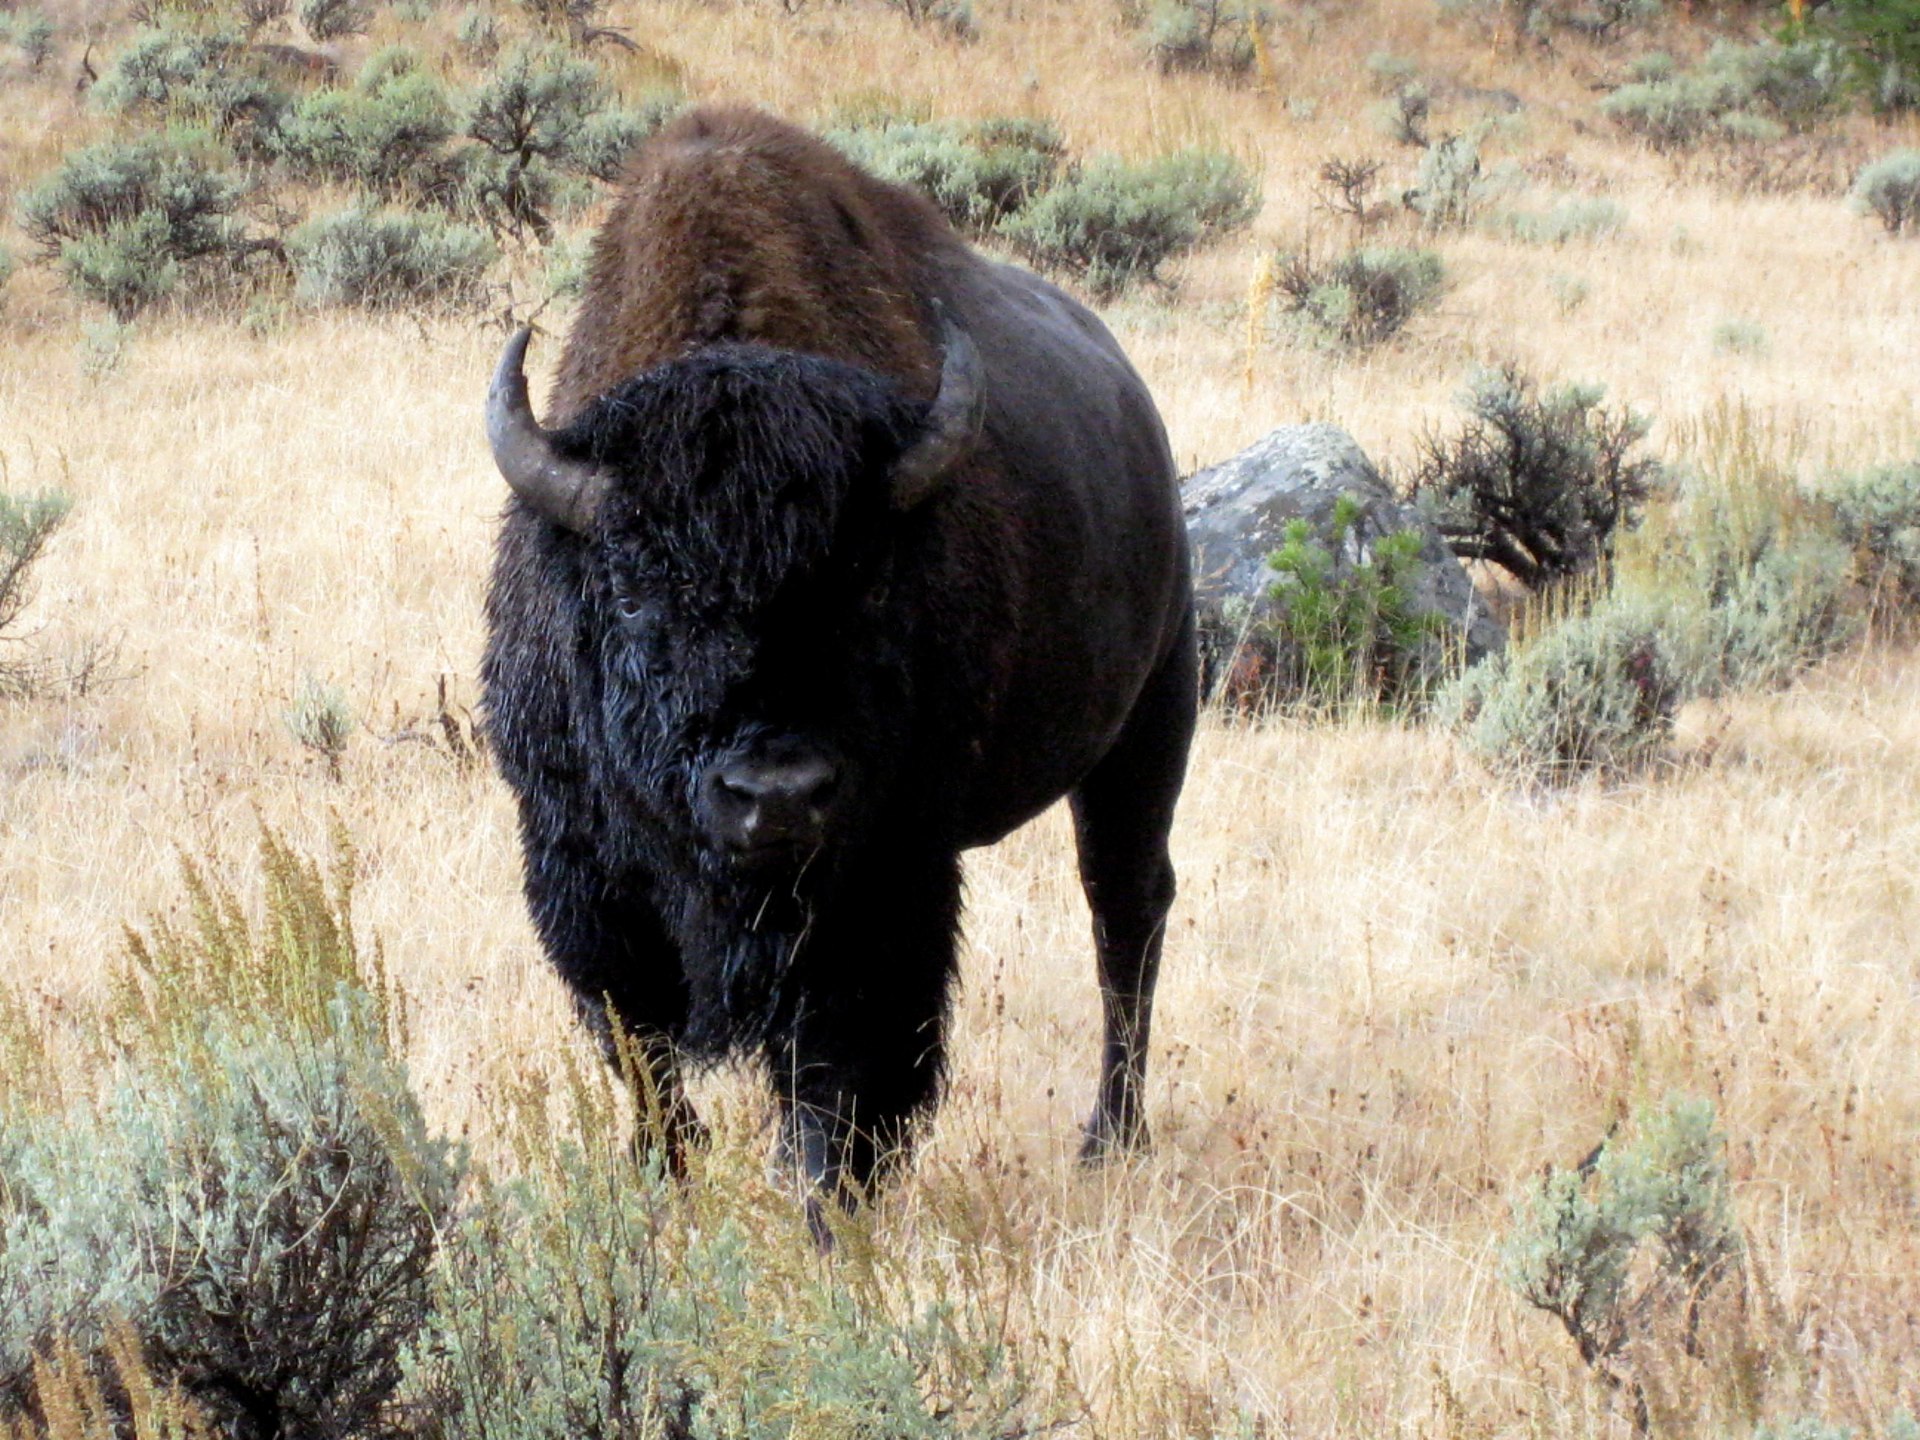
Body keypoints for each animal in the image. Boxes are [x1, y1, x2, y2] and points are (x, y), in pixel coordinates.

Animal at [481, 105, 1197, 1221]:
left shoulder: (884, 879)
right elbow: (644, 1056)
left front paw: (831, 1211)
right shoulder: (581, 873)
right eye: (632, 594)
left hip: (1147, 732)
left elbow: (844, 1066)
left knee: (1125, 915)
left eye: (866, 587)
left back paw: (1108, 1138)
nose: (775, 795)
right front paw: (666, 1191)